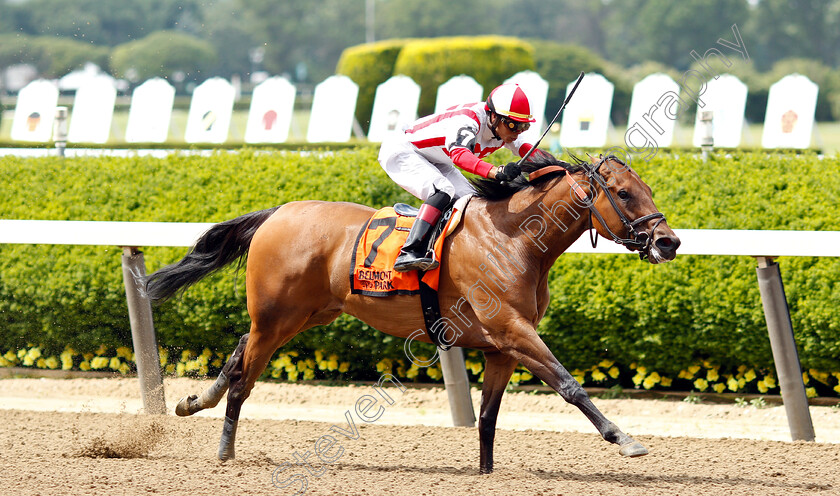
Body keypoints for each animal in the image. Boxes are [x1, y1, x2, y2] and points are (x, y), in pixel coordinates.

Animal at [146, 153, 684, 474]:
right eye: (626, 193)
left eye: (647, 188)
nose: (669, 242)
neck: (515, 238)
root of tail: (277, 212)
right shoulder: (514, 331)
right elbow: (570, 385)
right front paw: (625, 438)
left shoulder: (503, 346)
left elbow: (488, 415)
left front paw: (485, 472)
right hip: (279, 315)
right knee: (245, 376)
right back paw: (225, 450)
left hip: (306, 314)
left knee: (240, 350)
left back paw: (193, 401)